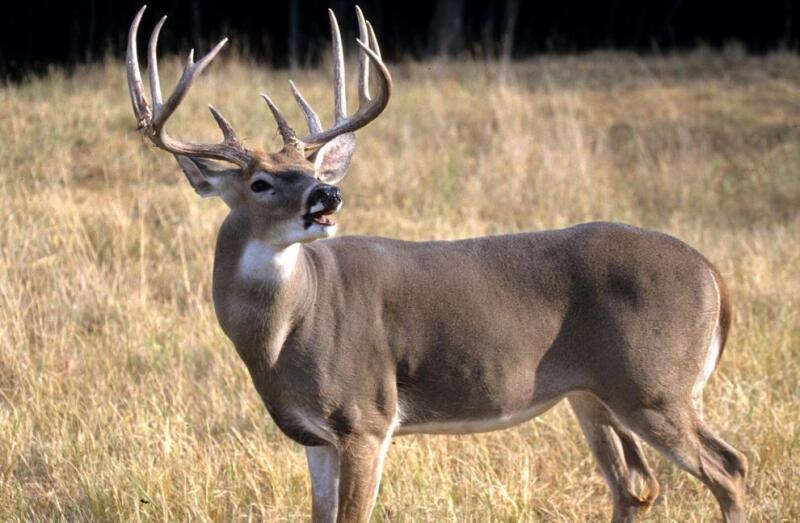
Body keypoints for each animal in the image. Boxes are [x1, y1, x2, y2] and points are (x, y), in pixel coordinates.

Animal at [126, 5, 747, 522]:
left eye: (311, 168)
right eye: (261, 182)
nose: (328, 195)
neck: (286, 331)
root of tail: (714, 275)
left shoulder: (367, 415)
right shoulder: (314, 437)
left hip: (655, 384)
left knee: (728, 469)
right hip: (592, 395)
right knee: (636, 485)